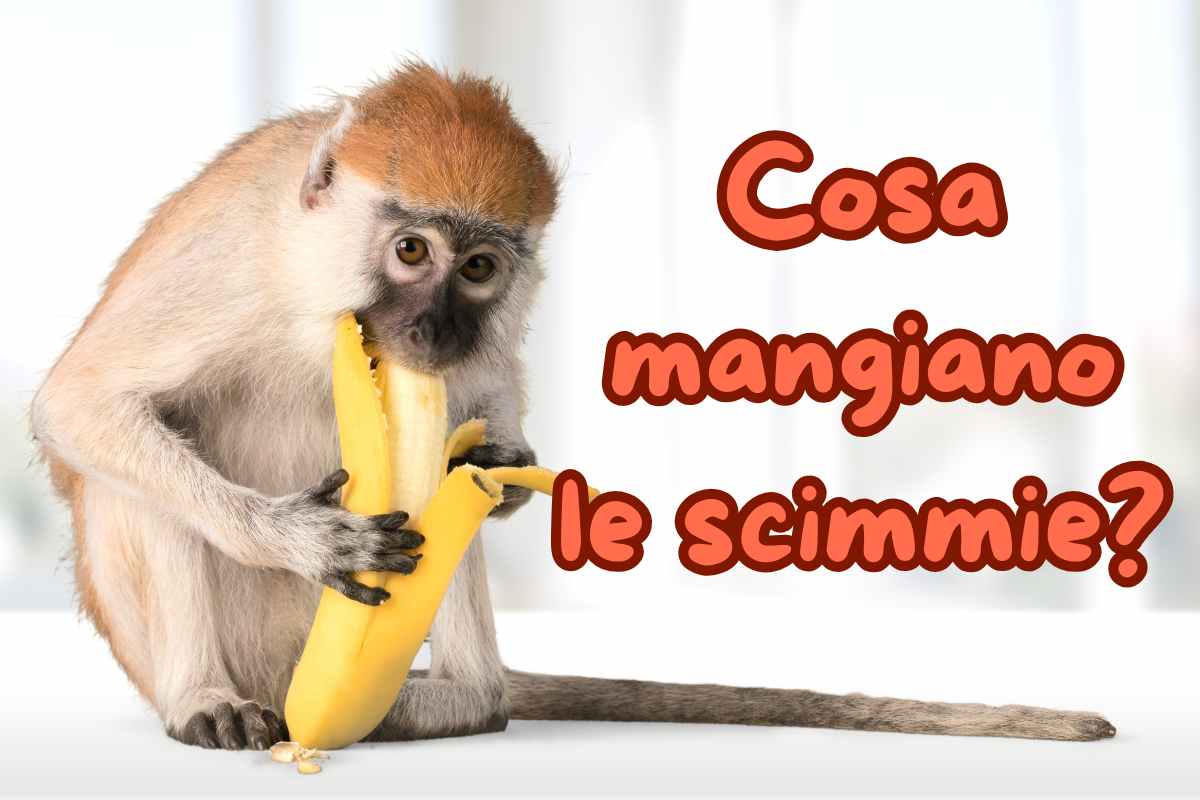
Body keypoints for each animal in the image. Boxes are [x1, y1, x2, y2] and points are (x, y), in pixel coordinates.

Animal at [31, 62, 1116, 751]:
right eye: (411, 251)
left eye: (478, 269)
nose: (432, 327)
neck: (315, 281)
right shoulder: (231, 262)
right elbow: (83, 405)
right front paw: (304, 537)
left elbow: (484, 404)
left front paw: (508, 461)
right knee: (142, 467)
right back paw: (207, 697)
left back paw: (462, 702)